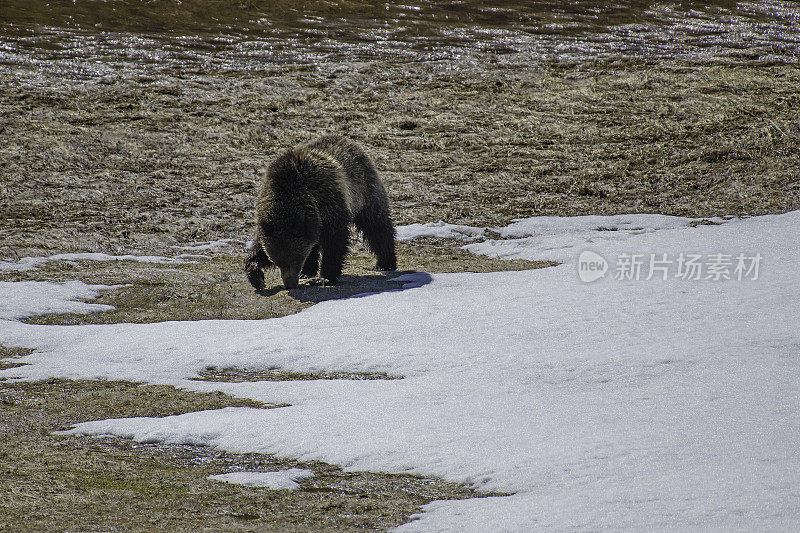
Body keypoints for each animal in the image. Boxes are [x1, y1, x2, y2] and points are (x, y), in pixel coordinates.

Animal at [244, 135, 394, 288]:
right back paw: (307, 272)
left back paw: (385, 263)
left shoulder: (329, 201)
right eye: (277, 261)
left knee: (376, 225)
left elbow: (335, 240)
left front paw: (325, 277)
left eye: (297, 259)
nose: (290, 283)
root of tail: (348, 141)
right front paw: (256, 275)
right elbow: (260, 244)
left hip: (364, 192)